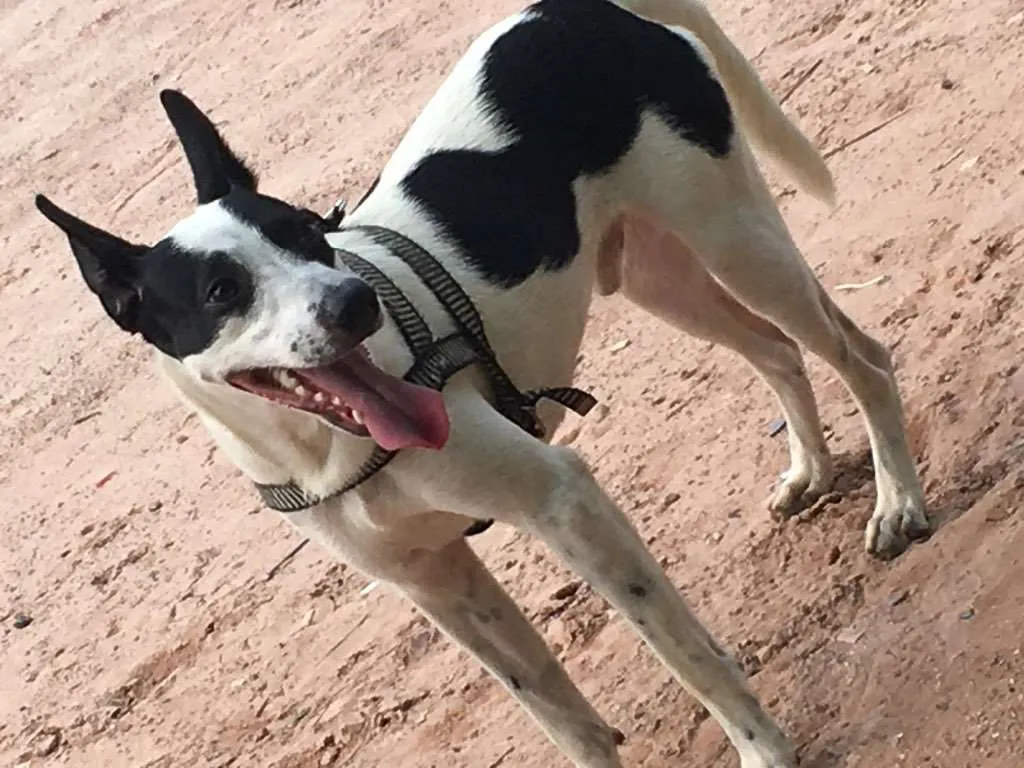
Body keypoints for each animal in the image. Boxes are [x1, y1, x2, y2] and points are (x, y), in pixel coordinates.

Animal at [35, 0, 930, 765]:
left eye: (309, 234)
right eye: (223, 291)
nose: (355, 303)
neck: (329, 446)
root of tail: (573, 11)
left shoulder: (562, 500)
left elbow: (687, 656)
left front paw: (763, 751)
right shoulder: (438, 584)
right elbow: (552, 706)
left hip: (736, 241)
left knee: (860, 356)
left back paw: (897, 503)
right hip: (661, 275)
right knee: (775, 353)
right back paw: (810, 470)